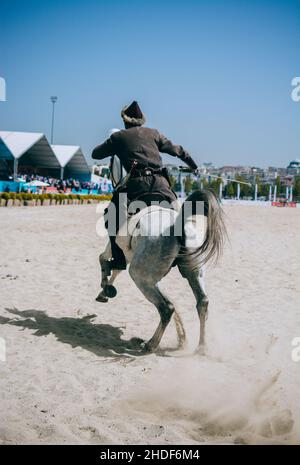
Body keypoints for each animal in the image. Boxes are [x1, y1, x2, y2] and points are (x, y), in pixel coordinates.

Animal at [96, 158, 225, 354]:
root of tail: (177, 225)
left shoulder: (116, 249)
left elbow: (104, 261)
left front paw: (105, 289)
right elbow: (116, 269)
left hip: (140, 276)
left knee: (166, 308)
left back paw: (150, 344)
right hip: (193, 272)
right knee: (202, 303)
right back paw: (200, 347)